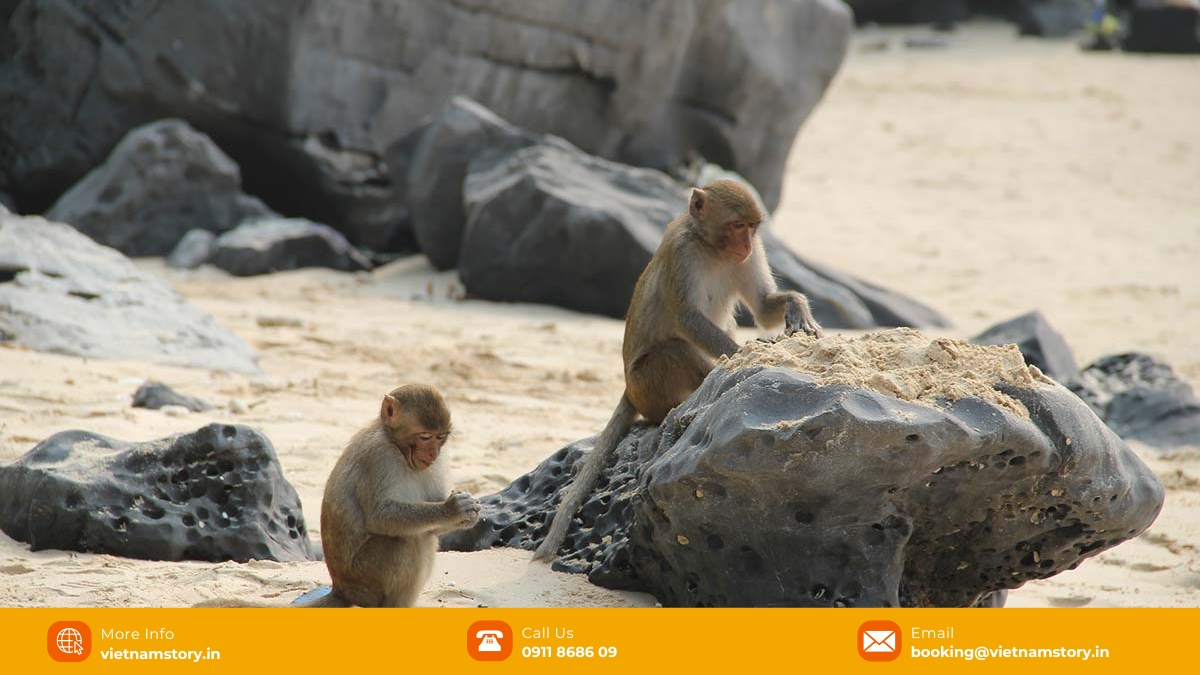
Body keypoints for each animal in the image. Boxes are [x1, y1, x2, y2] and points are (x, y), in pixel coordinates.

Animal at [195, 384, 480, 607]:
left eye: (440, 438)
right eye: (424, 436)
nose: (432, 453)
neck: (396, 445)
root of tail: (341, 589)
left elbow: (431, 527)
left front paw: (466, 513)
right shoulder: (379, 457)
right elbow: (381, 517)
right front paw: (453, 509)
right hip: (365, 577)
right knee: (406, 541)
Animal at [532, 179, 821, 562]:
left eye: (752, 227)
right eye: (736, 226)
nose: (745, 245)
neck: (709, 247)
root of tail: (629, 389)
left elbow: (762, 309)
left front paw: (797, 309)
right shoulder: (681, 252)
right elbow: (686, 318)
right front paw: (746, 355)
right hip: (647, 385)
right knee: (674, 349)